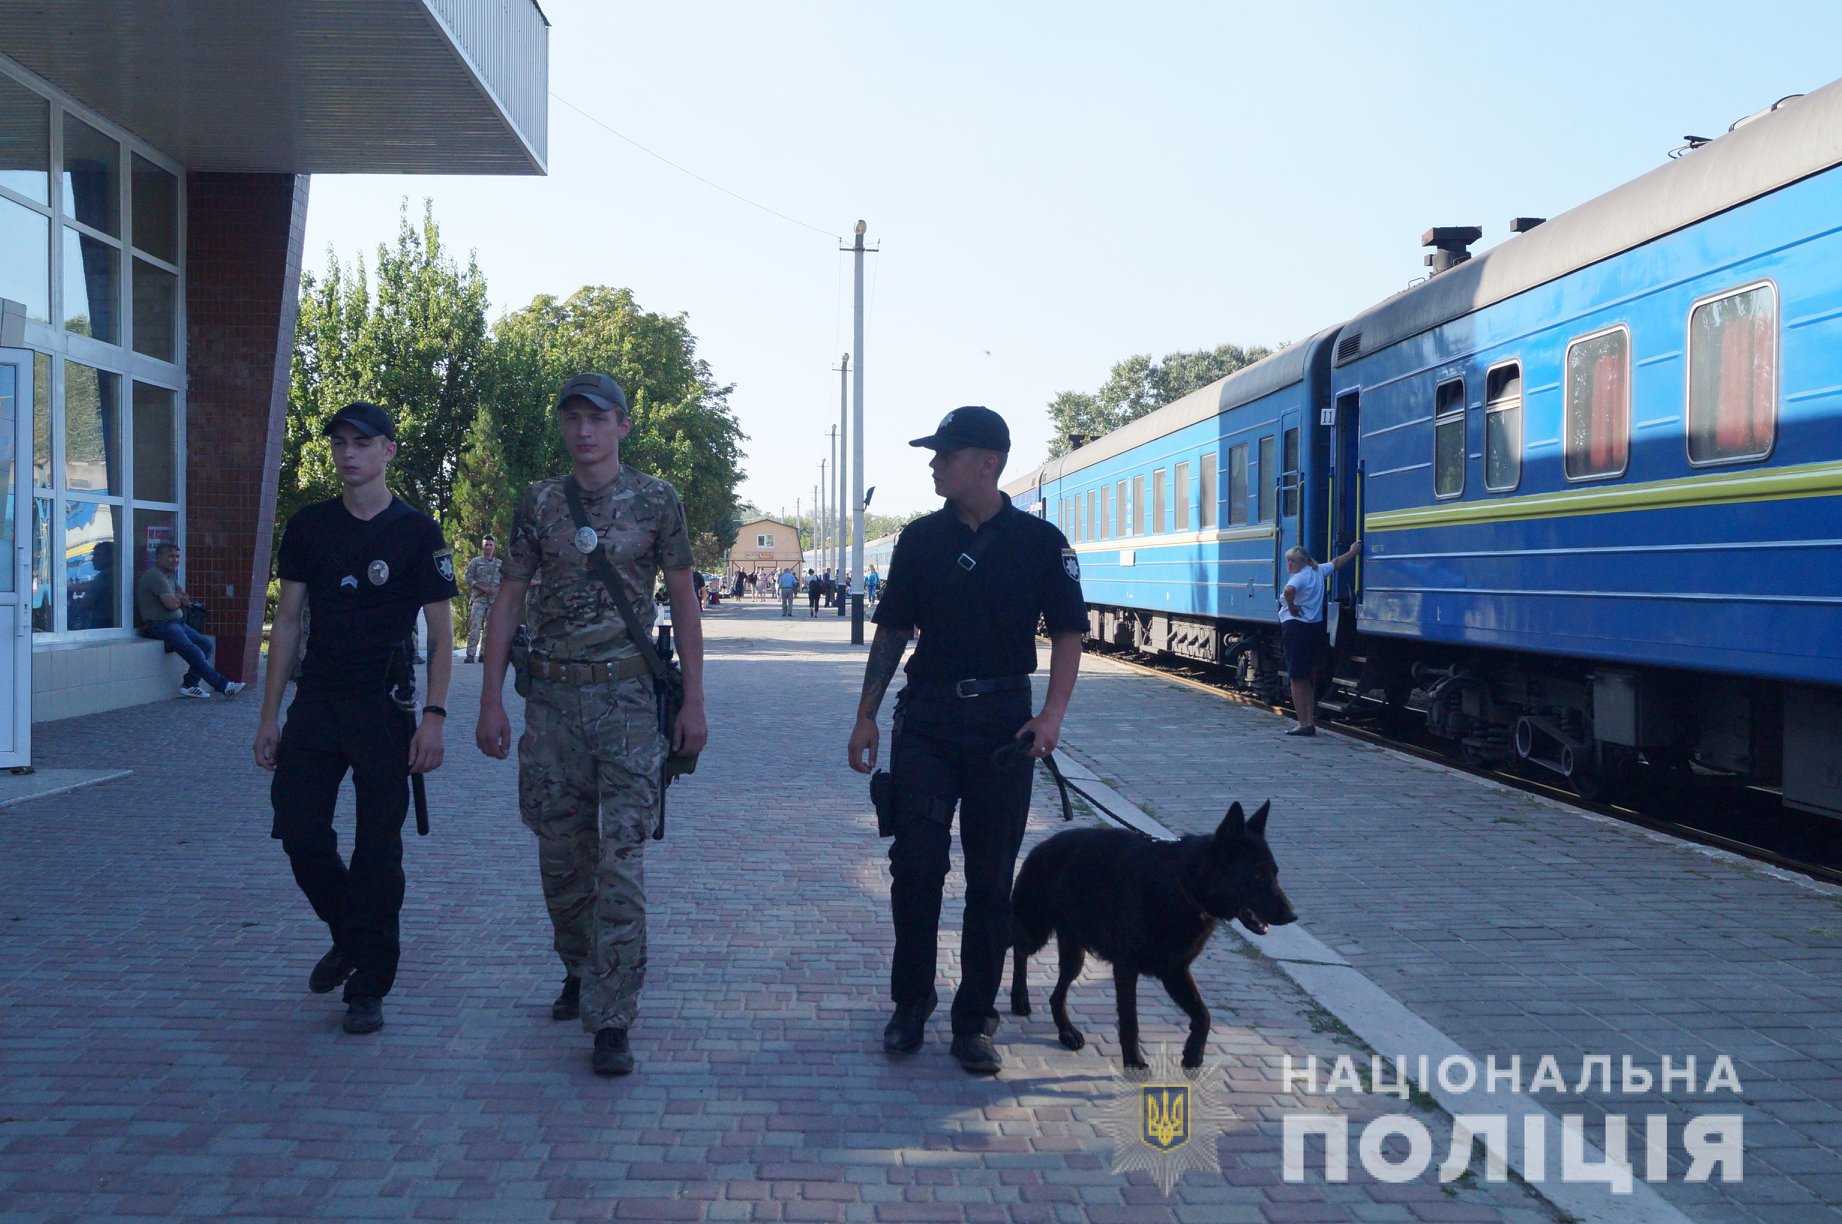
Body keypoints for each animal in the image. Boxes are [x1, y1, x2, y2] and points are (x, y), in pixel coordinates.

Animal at [1009, 800, 1296, 1069]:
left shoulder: (1174, 970)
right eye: (1257, 875)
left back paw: (1066, 1031)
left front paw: (1193, 1053)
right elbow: (1130, 1022)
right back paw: (1019, 997)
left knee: (1056, 994)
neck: (1182, 885)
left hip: (1074, 955)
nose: (1293, 915)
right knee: (1016, 949)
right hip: (1034, 931)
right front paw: (1134, 1062)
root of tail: (1040, 846)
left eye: (1275, 873)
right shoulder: (1127, 968)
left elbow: (1204, 1014)